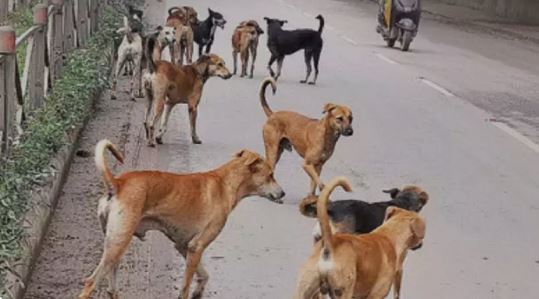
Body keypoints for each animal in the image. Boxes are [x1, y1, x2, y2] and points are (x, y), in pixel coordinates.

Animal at [78, 141, 286, 299]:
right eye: (271, 175)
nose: (283, 193)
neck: (224, 183)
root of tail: (118, 183)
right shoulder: (196, 247)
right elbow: (185, 287)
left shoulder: (184, 246)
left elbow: (204, 276)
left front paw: (198, 292)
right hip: (117, 243)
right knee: (90, 283)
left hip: (116, 245)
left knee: (111, 288)